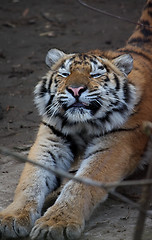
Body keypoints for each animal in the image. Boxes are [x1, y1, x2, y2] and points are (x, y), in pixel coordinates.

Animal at [0, 0, 152, 240]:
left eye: (95, 75)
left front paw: (56, 223)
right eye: (64, 74)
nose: (75, 89)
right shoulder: (51, 139)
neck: (82, 124)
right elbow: (31, 179)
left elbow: (80, 184)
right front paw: (13, 217)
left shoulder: (116, 145)